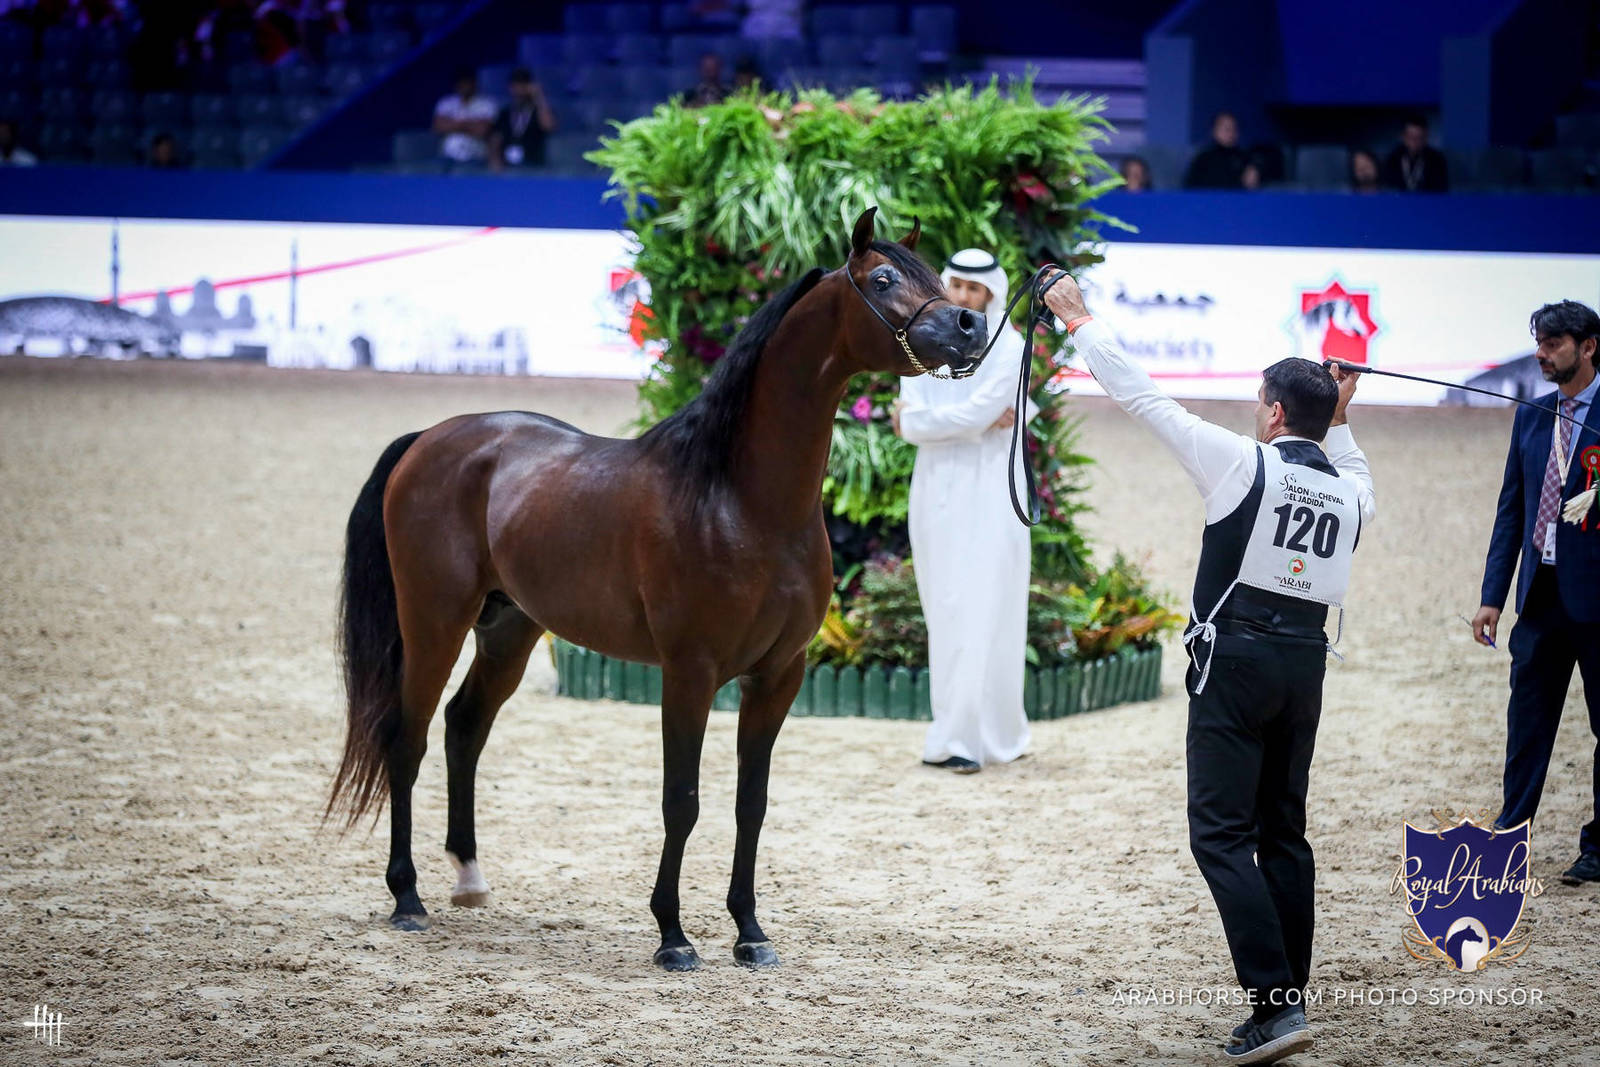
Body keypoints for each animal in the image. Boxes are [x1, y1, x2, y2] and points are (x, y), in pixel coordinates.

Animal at [325, 207, 988, 970]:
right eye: (882, 279)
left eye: (936, 275)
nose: (970, 324)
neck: (741, 500)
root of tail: (430, 439)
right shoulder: (689, 670)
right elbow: (683, 799)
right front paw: (673, 935)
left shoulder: (778, 675)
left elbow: (750, 804)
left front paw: (750, 932)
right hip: (434, 619)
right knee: (405, 738)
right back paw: (407, 898)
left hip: (509, 627)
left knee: (464, 726)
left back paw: (469, 878)